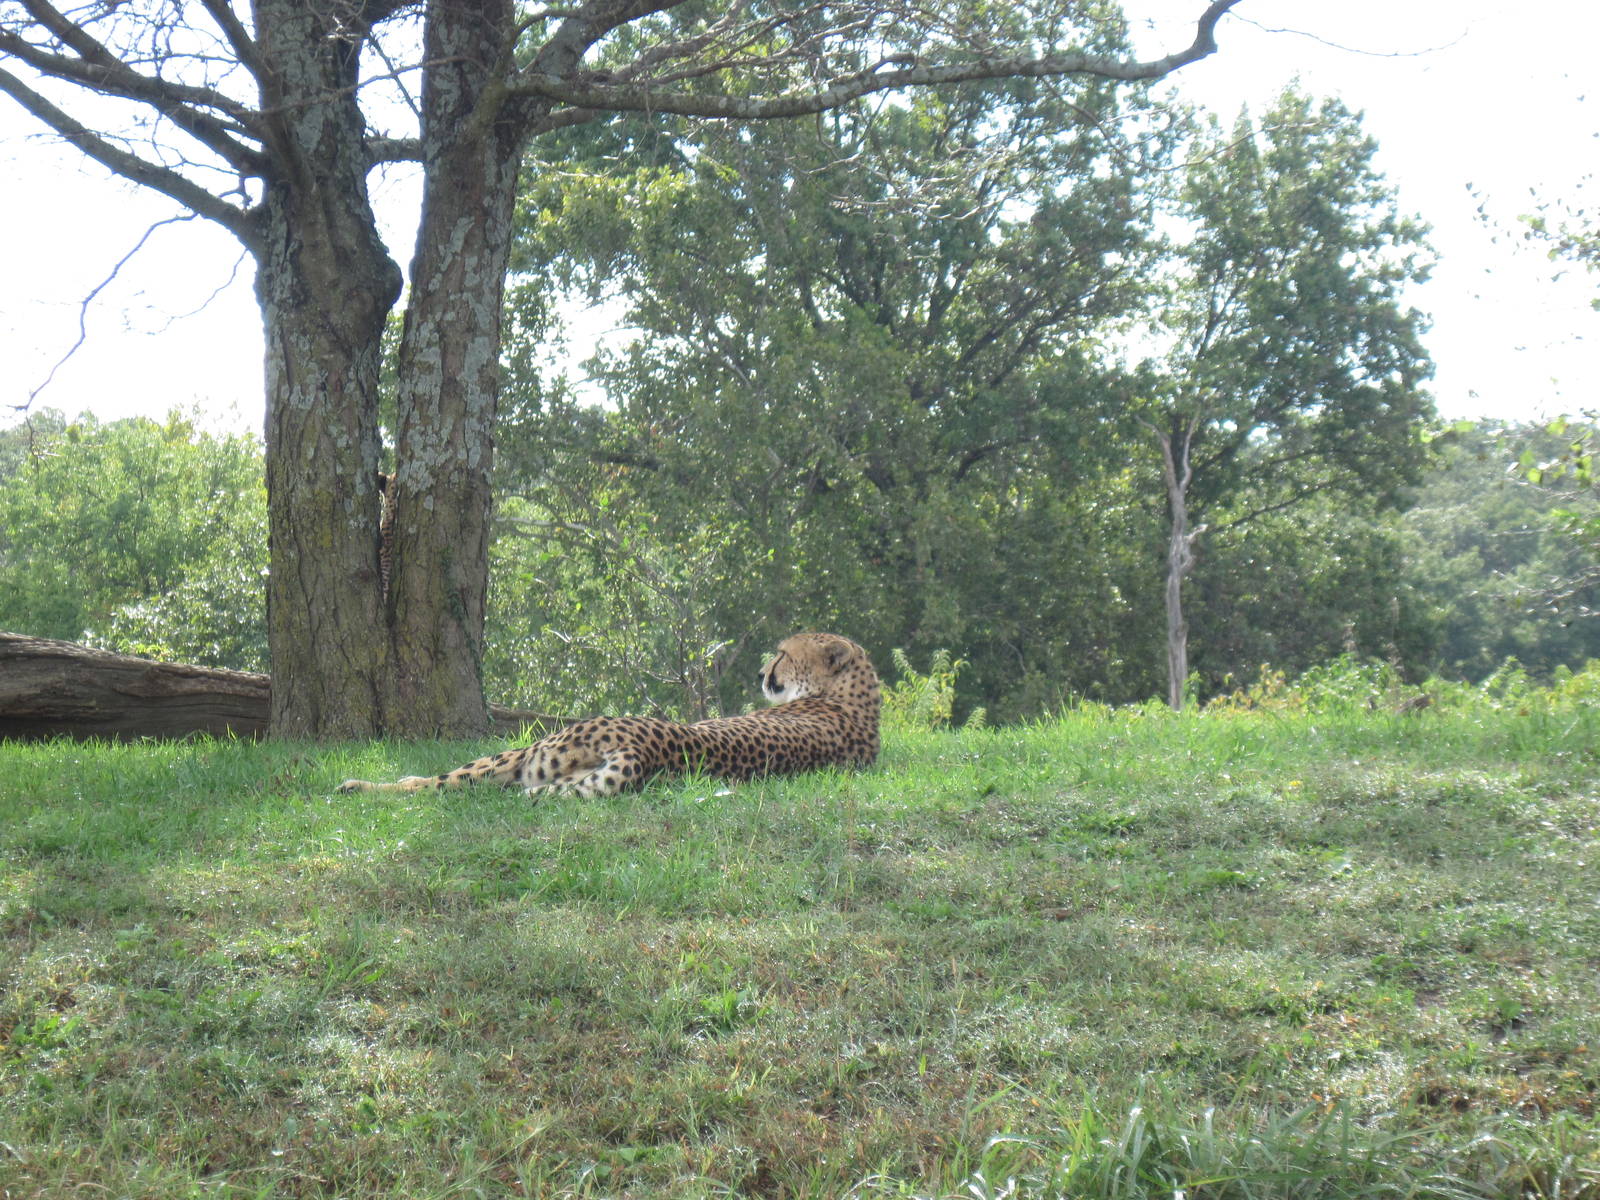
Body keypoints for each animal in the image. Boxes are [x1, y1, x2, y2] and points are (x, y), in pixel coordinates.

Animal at [336, 632, 880, 798]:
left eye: (784, 653)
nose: (764, 670)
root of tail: (644, 751)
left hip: (529, 753)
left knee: (441, 782)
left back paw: (358, 785)